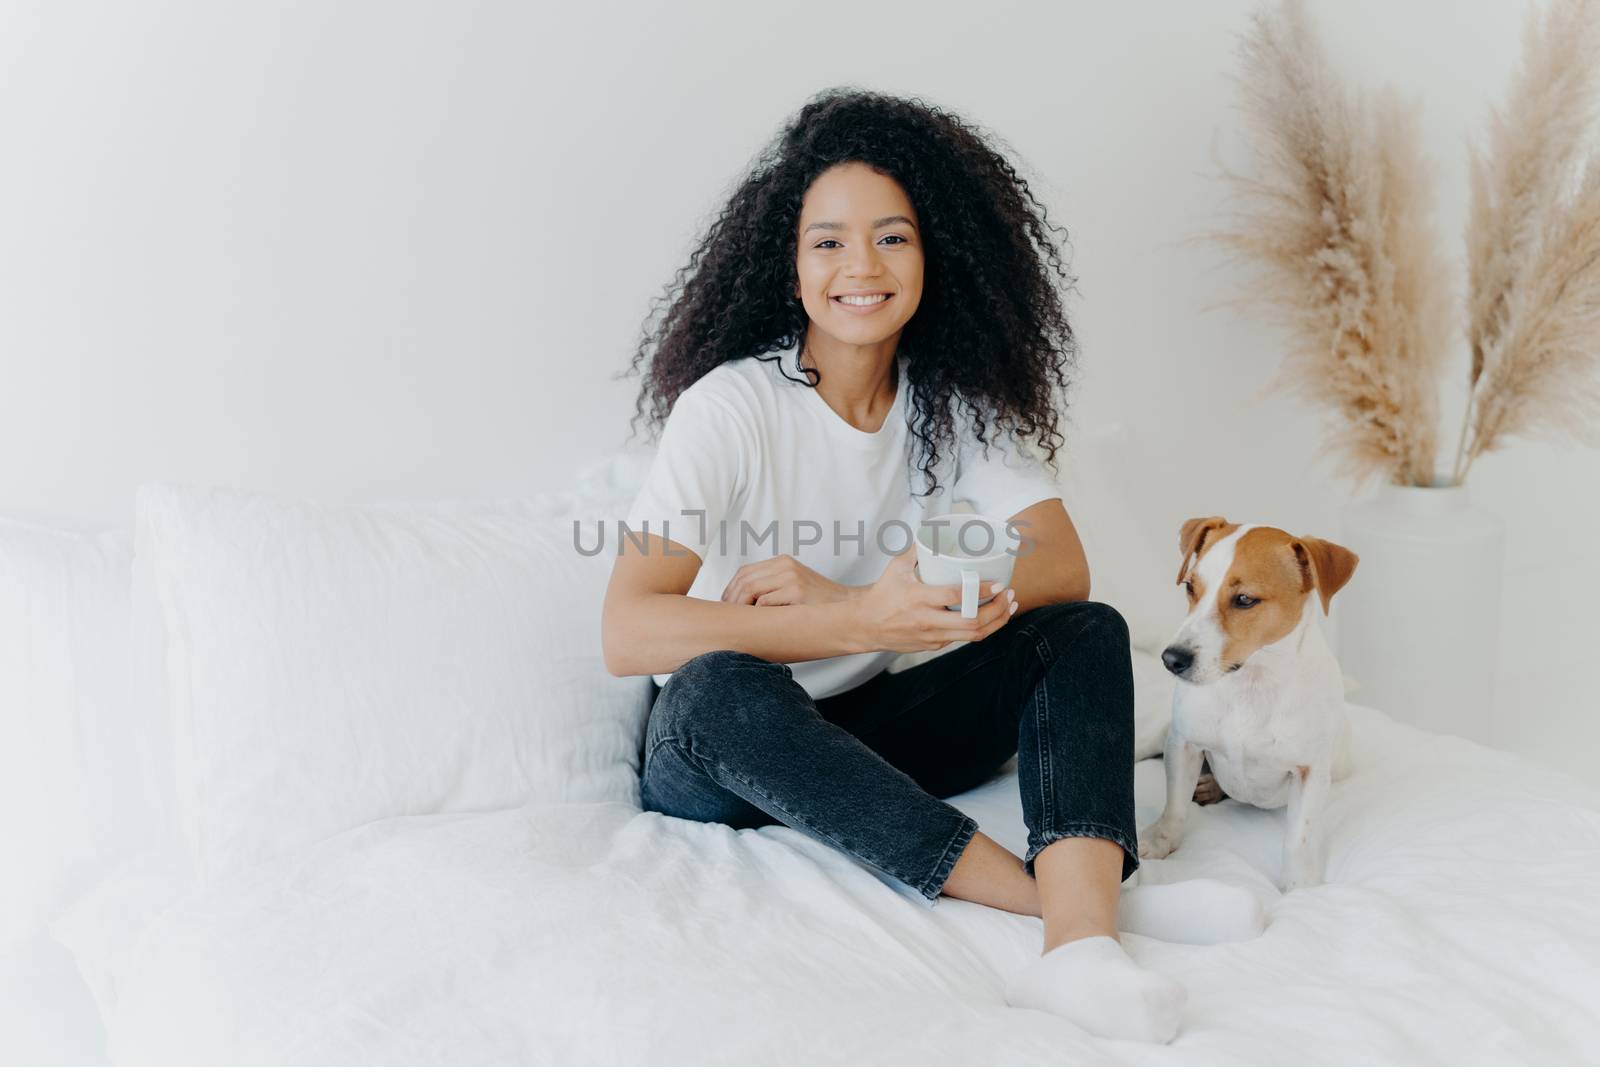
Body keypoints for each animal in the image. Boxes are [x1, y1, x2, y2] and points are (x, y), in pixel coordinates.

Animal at [1139, 518, 1363, 895]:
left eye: (1244, 599)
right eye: (1190, 586)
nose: (1172, 659)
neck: (1250, 682)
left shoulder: (1310, 772)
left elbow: (1299, 837)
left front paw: (1300, 886)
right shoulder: (1183, 744)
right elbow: (1175, 805)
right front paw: (1161, 839)